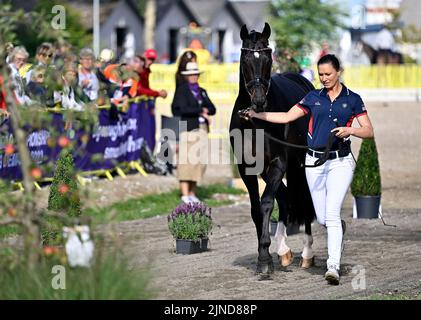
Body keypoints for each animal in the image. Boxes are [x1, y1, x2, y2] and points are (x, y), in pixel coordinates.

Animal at [230, 23, 316, 276]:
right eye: (246, 59)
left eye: (268, 58)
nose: (259, 101)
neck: (254, 121)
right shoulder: (247, 168)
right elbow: (256, 209)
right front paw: (265, 255)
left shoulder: (279, 162)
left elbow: (267, 203)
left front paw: (265, 259)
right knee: (286, 198)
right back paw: (284, 251)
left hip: (298, 164)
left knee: (304, 199)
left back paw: (306, 254)